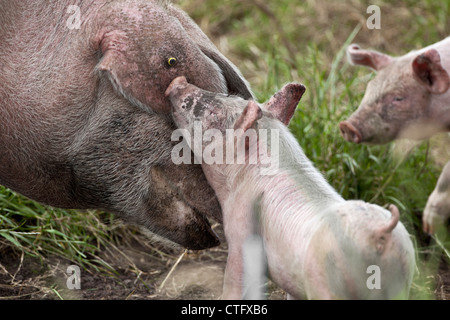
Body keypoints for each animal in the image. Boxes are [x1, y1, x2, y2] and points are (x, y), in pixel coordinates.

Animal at [167, 77, 416, 300]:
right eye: (231, 97)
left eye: (213, 115)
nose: (178, 81)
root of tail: (380, 233)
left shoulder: (241, 226)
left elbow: (236, 278)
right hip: (403, 278)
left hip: (328, 283)